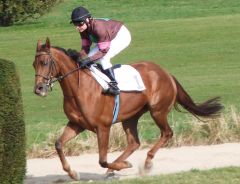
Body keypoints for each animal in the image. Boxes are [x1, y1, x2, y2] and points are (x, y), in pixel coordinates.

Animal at [32, 37, 223, 180]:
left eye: (45, 62)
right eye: (34, 64)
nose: (38, 89)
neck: (79, 88)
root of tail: (165, 73)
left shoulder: (103, 127)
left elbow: (102, 159)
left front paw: (123, 166)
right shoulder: (77, 124)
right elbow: (58, 144)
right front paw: (72, 173)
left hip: (158, 111)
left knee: (166, 133)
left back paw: (145, 164)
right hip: (130, 117)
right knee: (134, 143)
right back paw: (116, 168)